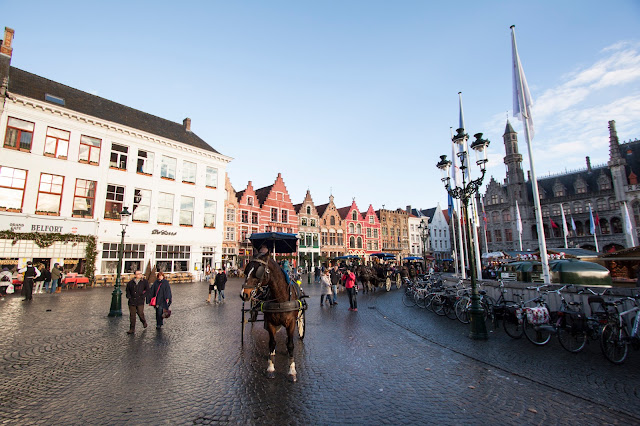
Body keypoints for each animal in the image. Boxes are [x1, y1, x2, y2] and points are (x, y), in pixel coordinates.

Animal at [241, 251, 302, 382]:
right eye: (246, 269)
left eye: (258, 271)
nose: (244, 294)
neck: (280, 297)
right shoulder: (270, 322)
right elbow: (272, 343)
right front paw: (270, 367)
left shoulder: (291, 323)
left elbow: (291, 345)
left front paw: (292, 371)